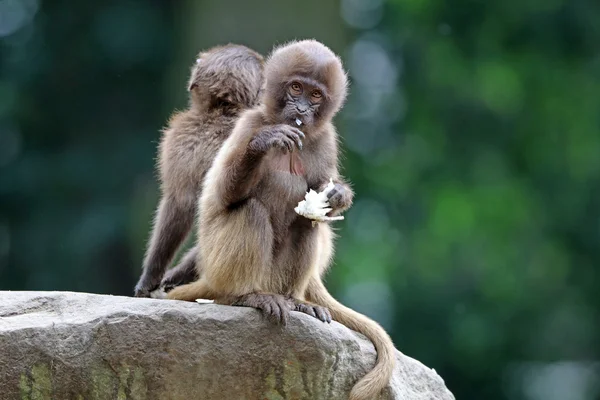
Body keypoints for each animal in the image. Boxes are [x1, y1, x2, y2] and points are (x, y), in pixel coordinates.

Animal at [166, 39, 396, 400]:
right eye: (296, 88)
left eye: (315, 95)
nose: (300, 110)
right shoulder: (248, 123)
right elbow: (222, 196)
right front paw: (264, 143)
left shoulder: (326, 140)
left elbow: (319, 201)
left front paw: (338, 195)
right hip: (219, 265)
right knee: (250, 210)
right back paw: (245, 297)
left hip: (272, 276)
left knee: (306, 224)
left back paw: (295, 302)